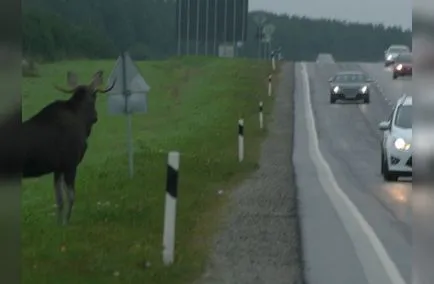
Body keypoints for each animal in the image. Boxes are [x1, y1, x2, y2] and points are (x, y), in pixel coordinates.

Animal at [21, 70, 115, 225]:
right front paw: (66, 222)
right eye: (95, 95)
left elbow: (59, 199)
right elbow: (71, 196)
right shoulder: (70, 164)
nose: (95, 117)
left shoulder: (58, 168)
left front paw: (59, 224)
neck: (83, 121)